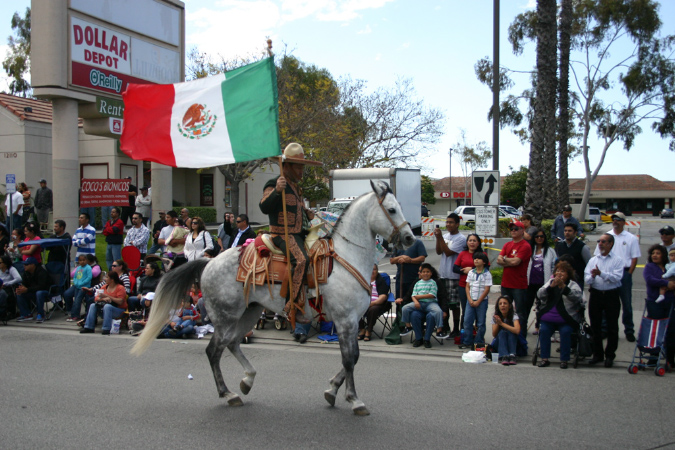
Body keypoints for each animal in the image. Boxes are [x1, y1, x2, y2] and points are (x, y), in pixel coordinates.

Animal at [132, 180, 414, 414]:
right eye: (391, 209)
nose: (410, 237)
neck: (346, 258)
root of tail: (209, 262)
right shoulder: (346, 321)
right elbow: (349, 359)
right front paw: (354, 400)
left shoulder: (353, 321)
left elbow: (353, 358)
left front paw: (332, 390)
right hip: (225, 317)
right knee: (214, 350)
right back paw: (228, 394)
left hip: (250, 311)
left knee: (232, 343)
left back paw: (247, 381)